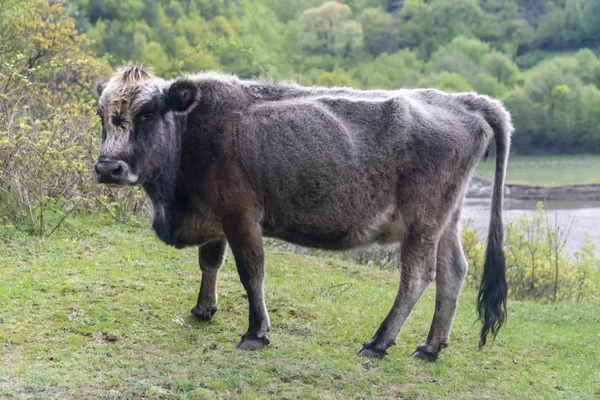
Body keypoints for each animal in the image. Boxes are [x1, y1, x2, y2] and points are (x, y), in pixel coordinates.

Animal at [94, 64, 510, 360]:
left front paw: (256, 332)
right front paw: (202, 308)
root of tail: (466, 101)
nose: (108, 168)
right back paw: (431, 347)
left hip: (422, 221)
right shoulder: (214, 218)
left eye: (148, 113)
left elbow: (251, 272)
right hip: (446, 219)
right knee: (453, 272)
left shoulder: (241, 215)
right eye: (101, 115)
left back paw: (378, 342)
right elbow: (209, 262)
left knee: (417, 277)